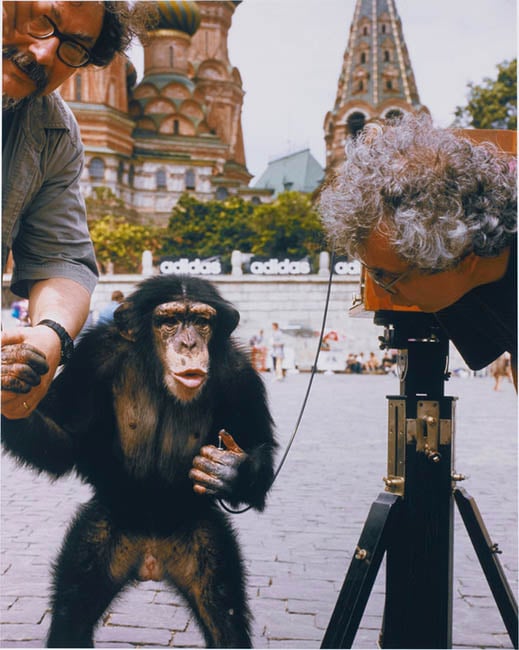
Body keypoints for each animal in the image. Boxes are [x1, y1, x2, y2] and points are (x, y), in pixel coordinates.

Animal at [2, 272, 278, 644]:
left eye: (202, 322)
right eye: (170, 321)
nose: (189, 344)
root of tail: (152, 560)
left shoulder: (241, 377)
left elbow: (259, 446)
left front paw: (231, 470)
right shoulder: (93, 357)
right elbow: (64, 441)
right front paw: (12, 375)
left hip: (205, 546)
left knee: (226, 620)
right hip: (99, 539)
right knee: (71, 616)